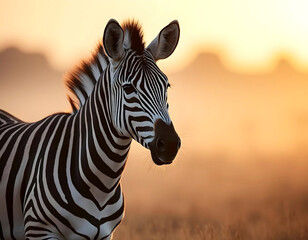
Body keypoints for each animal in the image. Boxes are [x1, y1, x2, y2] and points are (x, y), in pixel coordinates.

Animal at [0, 18, 180, 238]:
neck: (102, 185)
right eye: (128, 88)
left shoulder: (105, 234)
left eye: (166, 86)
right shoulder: (39, 229)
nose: (170, 144)